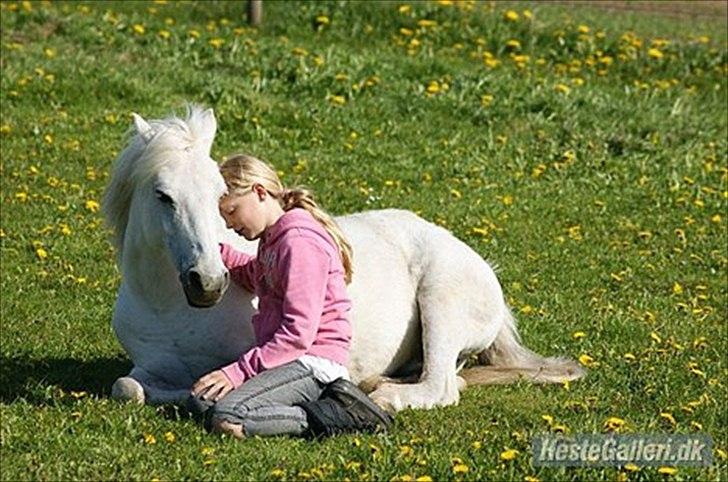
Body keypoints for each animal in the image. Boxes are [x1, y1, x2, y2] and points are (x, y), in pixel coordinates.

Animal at [102, 107, 584, 412]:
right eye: (163, 196)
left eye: (219, 194)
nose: (209, 283)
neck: (170, 309)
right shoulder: (146, 367)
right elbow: (128, 387)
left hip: (441, 304)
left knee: (442, 386)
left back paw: (384, 394)